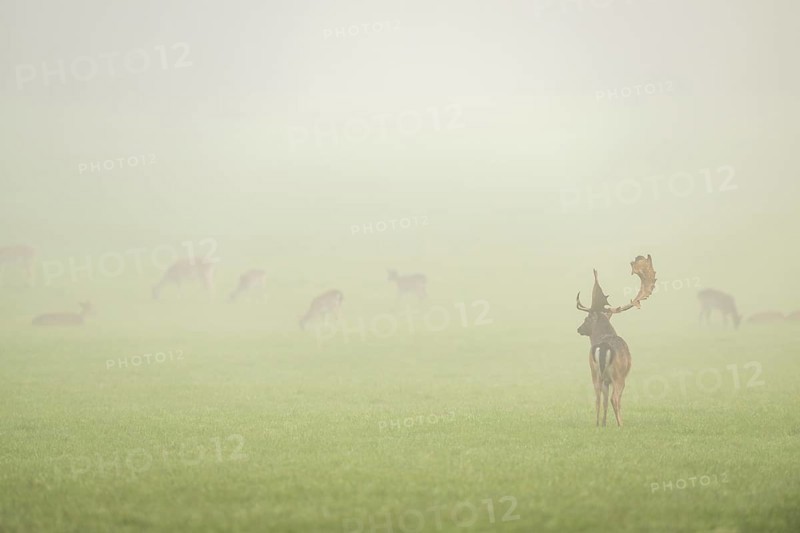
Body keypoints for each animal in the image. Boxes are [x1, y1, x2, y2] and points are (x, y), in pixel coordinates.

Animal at [576, 255, 656, 428]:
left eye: (586, 319)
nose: (579, 329)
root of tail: (604, 346)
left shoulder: (604, 379)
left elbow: (604, 400)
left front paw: (604, 423)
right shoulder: (621, 375)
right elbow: (614, 400)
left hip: (594, 372)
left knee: (598, 398)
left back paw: (597, 424)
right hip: (618, 375)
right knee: (615, 398)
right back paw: (621, 424)